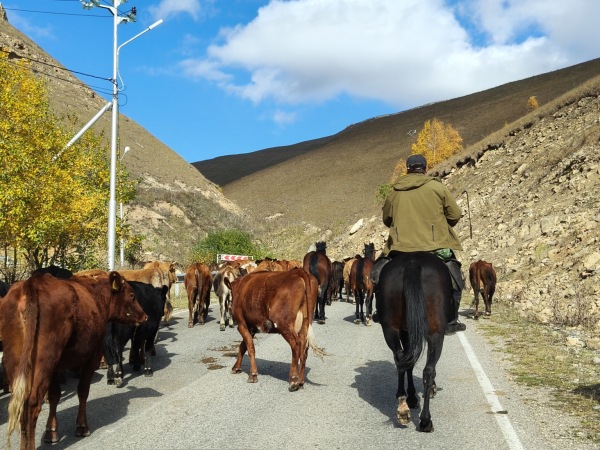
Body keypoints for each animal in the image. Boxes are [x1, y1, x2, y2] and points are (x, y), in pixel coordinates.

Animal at [0, 272, 146, 448]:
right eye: (132, 295)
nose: (145, 316)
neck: (94, 296)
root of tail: (33, 282)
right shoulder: (92, 357)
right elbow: (83, 391)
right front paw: (82, 427)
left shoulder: (56, 366)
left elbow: (55, 396)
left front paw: (51, 432)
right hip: (43, 361)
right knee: (32, 403)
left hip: (17, 361)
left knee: (21, 403)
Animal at [376, 251, 450, 430]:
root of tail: (412, 264)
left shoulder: (406, 331)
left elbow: (408, 362)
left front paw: (411, 397)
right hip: (436, 334)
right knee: (428, 369)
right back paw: (425, 420)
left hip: (391, 329)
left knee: (400, 359)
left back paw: (403, 407)